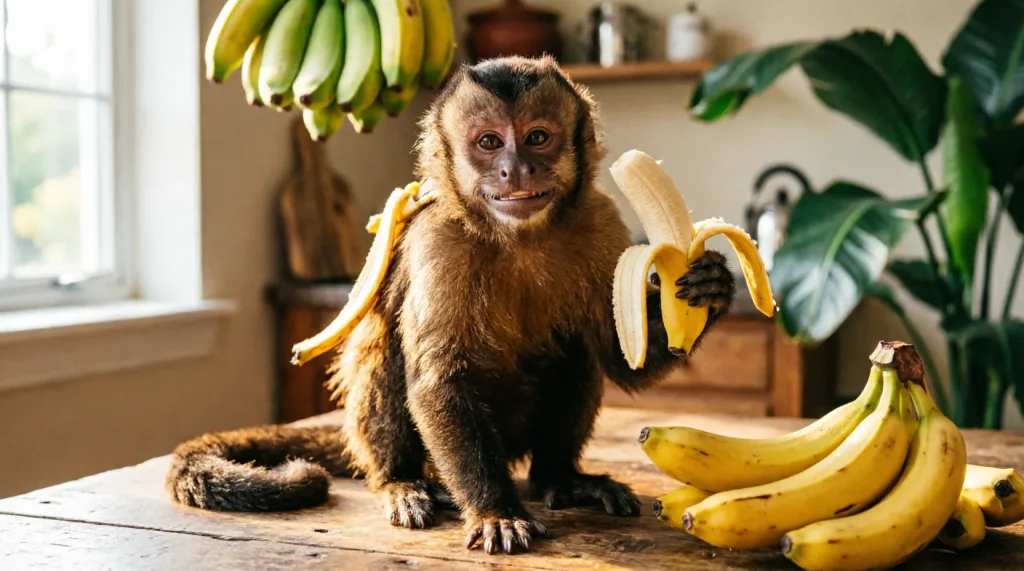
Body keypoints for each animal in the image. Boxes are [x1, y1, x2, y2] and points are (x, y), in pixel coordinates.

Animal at [166, 55, 737, 555]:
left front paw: (711, 286)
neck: (520, 236)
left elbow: (622, 358)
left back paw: (560, 477)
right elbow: (438, 379)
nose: (516, 169)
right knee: (388, 354)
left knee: (576, 354)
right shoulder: (439, 239)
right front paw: (495, 510)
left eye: (537, 137)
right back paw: (400, 480)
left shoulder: (601, 220)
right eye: (489, 142)